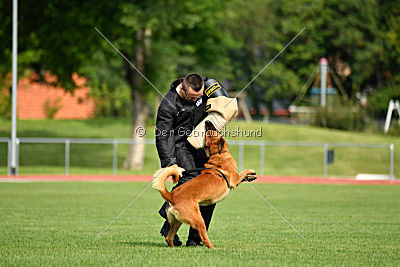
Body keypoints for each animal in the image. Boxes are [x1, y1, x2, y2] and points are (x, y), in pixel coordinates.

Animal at [153, 121, 256, 249]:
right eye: (211, 131)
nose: (207, 122)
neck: (217, 154)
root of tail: (171, 196)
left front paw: (250, 177)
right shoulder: (235, 179)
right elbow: (244, 172)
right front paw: (252, 173)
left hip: (177, 222)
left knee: (169, 237)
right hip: (198, 220)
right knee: (203, 235)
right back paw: (212, 247)